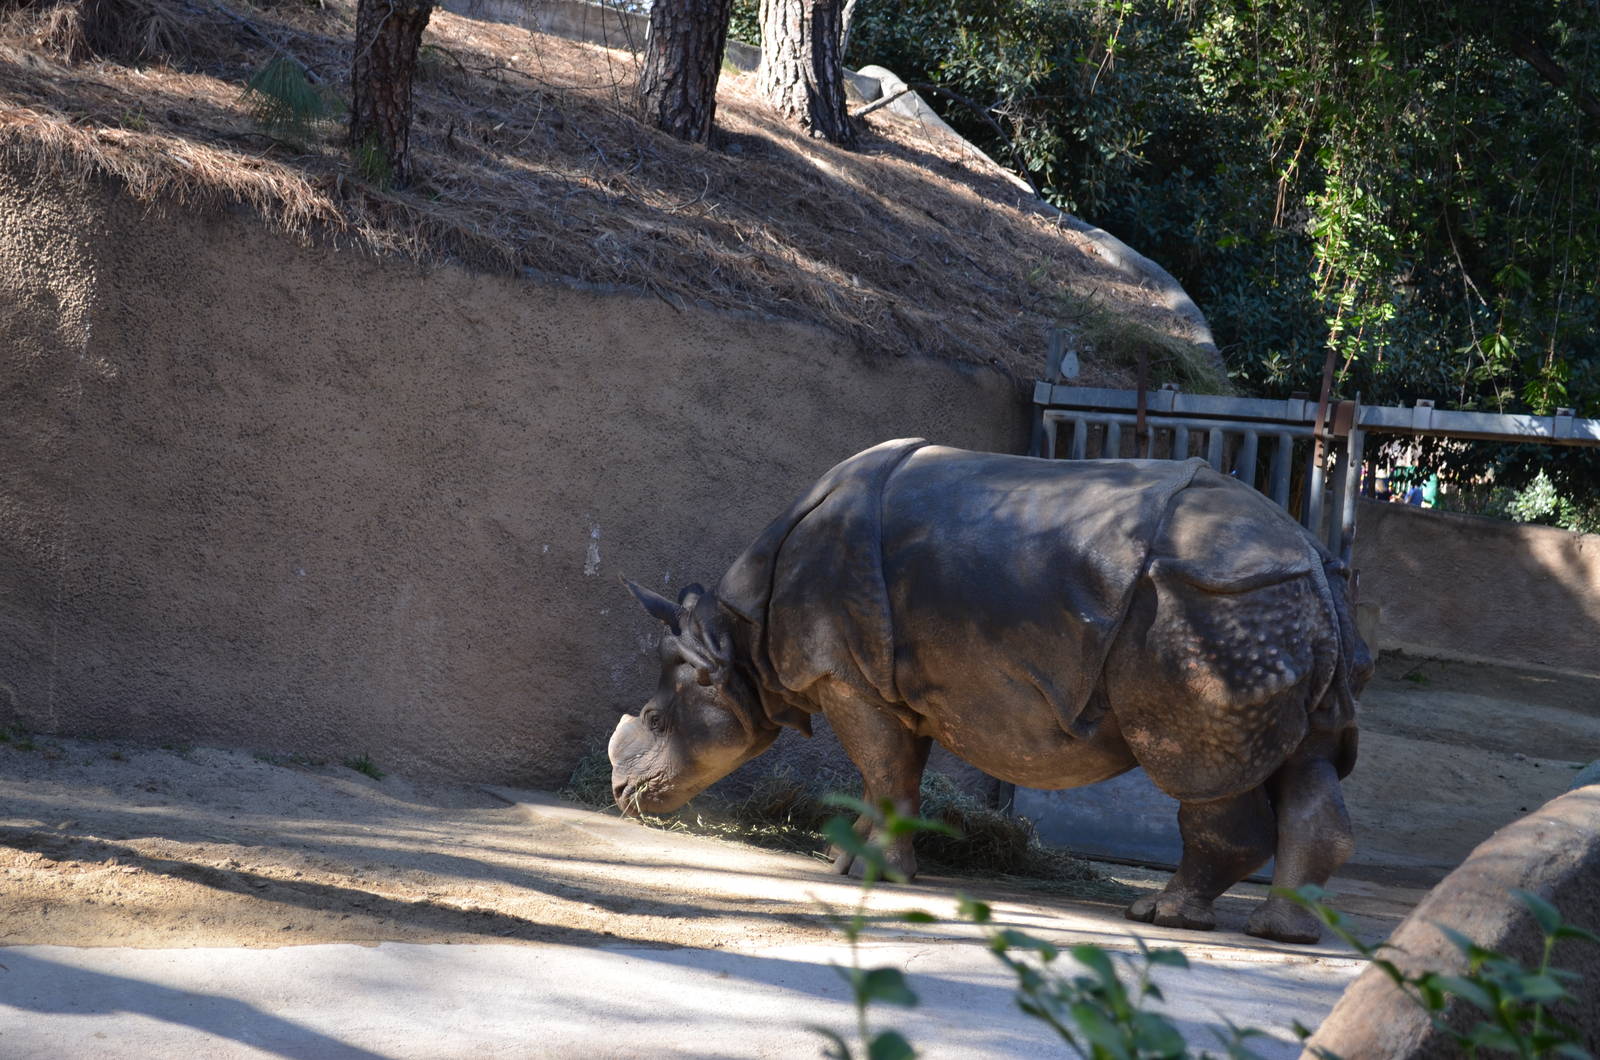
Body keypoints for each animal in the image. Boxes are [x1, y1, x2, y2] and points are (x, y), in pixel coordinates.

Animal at [609, 439, 1371, 943]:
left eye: (653, 717)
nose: (621, 796)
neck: (732, 636)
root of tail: (1309, 555)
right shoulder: (885, 682)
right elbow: (896, 772)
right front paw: (852, 861)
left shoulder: (844, 674)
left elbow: (882, 769)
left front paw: (875, 873)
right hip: (1280, 606)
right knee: (1306, 758)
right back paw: (1283, 931)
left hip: (1211, 610)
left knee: (1199, 772)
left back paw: (1164, 917)